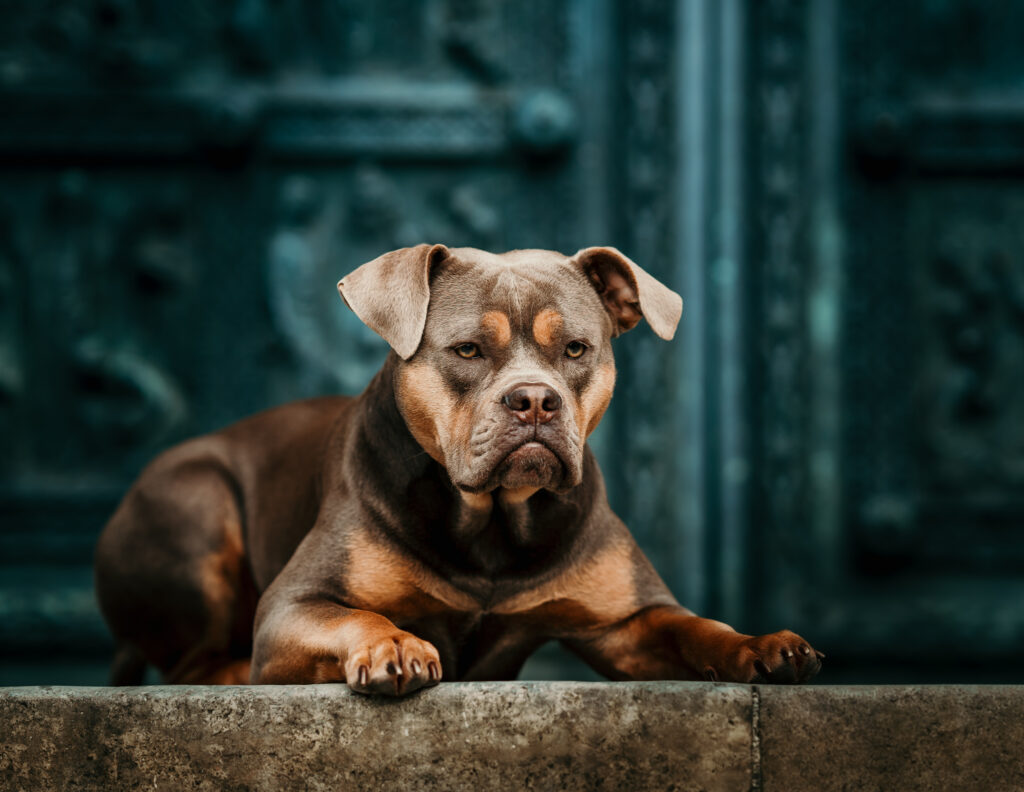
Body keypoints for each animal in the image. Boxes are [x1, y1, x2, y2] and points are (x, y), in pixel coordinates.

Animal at [92, 245, 819, 692]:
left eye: (576, 349)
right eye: (467, 349)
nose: (534, 400)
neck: (493, 520)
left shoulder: (627, 623)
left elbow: (696, 626)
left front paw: (760, 645)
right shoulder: (292, 607)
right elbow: (357, 616)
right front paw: (394, 645)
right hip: (195, 502)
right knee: (192, 665)